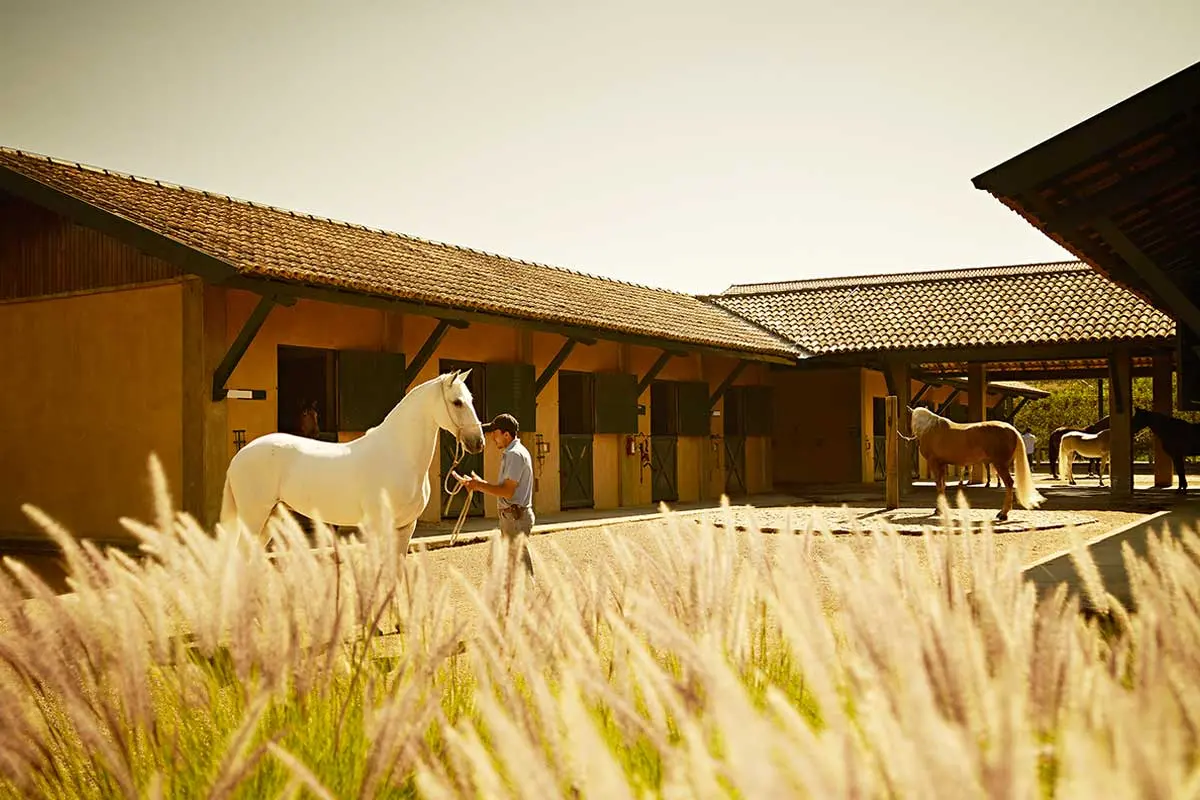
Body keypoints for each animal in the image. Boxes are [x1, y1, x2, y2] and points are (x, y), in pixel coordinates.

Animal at [218, 371, 484, 546]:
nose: (478, 442)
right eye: (457, 402)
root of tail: (239, 456)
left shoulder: (405, 527)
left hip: (268, 518)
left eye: (472, 400)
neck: (398, 453)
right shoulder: (380, 526)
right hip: (254, 517)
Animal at [907, 410, 1041, 522]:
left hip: (1000, 465)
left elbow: (939, 485)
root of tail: (1012, 429)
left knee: (1009, 483)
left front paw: (938, 510)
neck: (931, 429)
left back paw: (1003, 514)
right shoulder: (942, 464)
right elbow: (942, 485)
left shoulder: (934, 463)